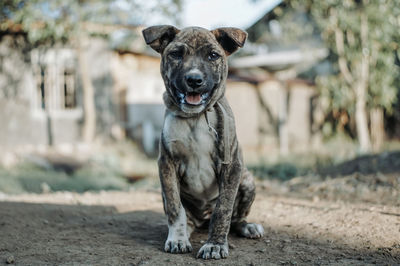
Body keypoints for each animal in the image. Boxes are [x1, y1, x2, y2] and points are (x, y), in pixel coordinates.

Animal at [142, 25, 264, 260]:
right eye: (176, 54)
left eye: (213, 56)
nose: (194, 80)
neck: (195, 118)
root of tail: (202, 220)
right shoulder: (167, 163)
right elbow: (175, 207)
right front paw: (178, 239)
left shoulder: (231, 164)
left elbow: (223, 209)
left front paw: (215, 244)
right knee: (185, 215)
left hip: (247, 180)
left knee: (235, 218)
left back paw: (247, 226)